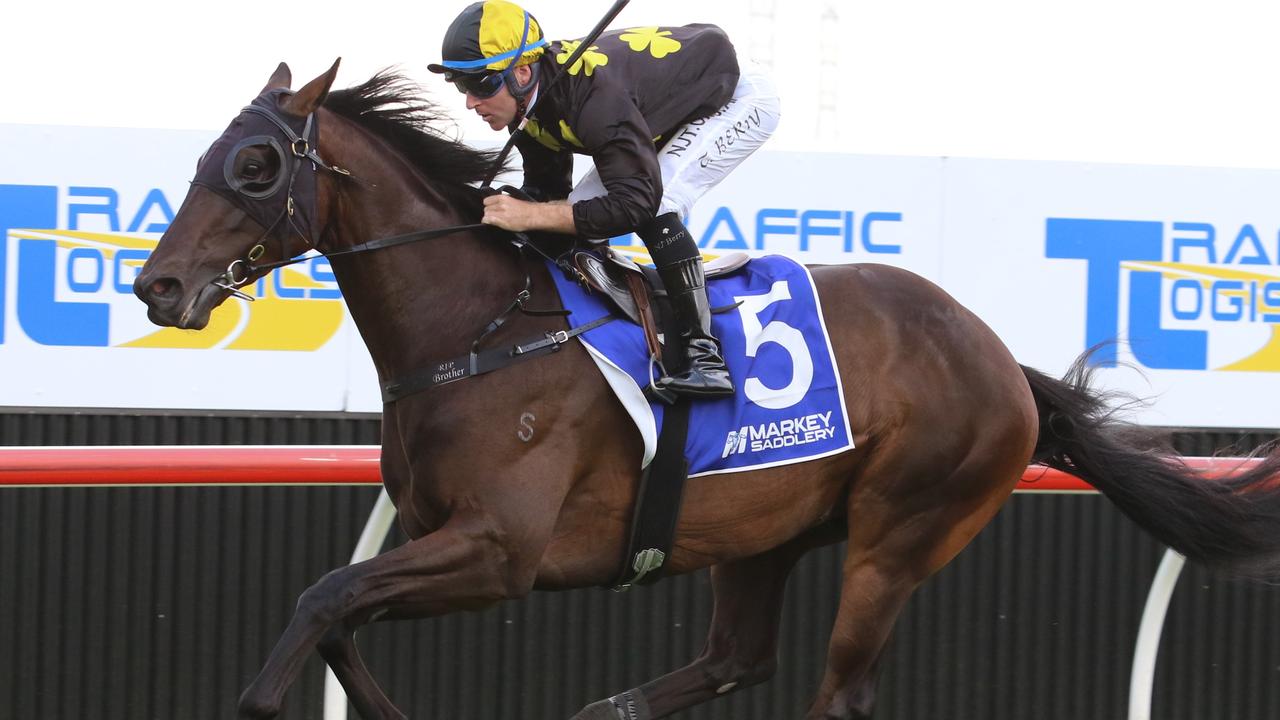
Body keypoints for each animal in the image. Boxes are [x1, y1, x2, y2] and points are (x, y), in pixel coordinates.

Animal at [135, 61, 1280, 717]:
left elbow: (317, 604)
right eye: (203, 157)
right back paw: (611, 710)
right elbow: (335, 616)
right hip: (762, 533)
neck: (477, 331)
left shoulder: (500, 552)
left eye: (254, 165)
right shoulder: (431, 538)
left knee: (839, 692)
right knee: (739, 659)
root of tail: (1003, 361)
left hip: (900, 534)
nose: (159, 285)